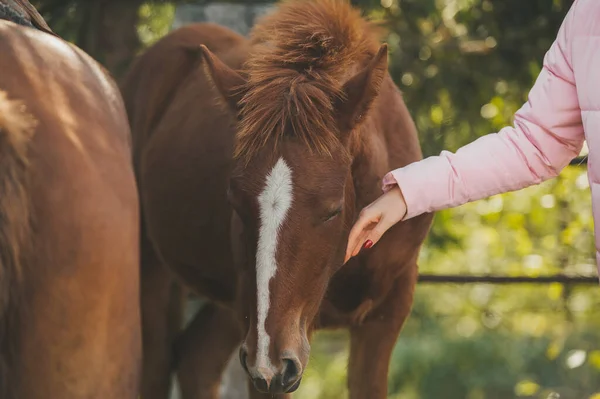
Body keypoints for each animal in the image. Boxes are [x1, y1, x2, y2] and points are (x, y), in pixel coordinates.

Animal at [120, 1, 432, 398]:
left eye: (333, 210)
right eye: (235, 204)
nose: (271, 362)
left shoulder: (385, 314)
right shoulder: (266, 348)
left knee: (197, 357)